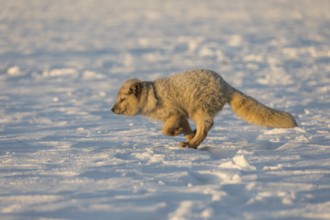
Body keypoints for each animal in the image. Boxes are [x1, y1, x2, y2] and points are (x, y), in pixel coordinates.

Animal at [111, 69, 296, 148]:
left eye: (121, 99)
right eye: (117, 99)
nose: (111, 110)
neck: (153, 95)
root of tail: (225, 84)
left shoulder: (175, 113)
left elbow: (164, 130)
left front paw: (176, 133)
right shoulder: (182, 116)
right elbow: (184, 129)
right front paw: (185, 134)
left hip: (198, 109)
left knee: (207, 126)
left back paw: (192, 144)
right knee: (206, 127)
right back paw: (192, 141)